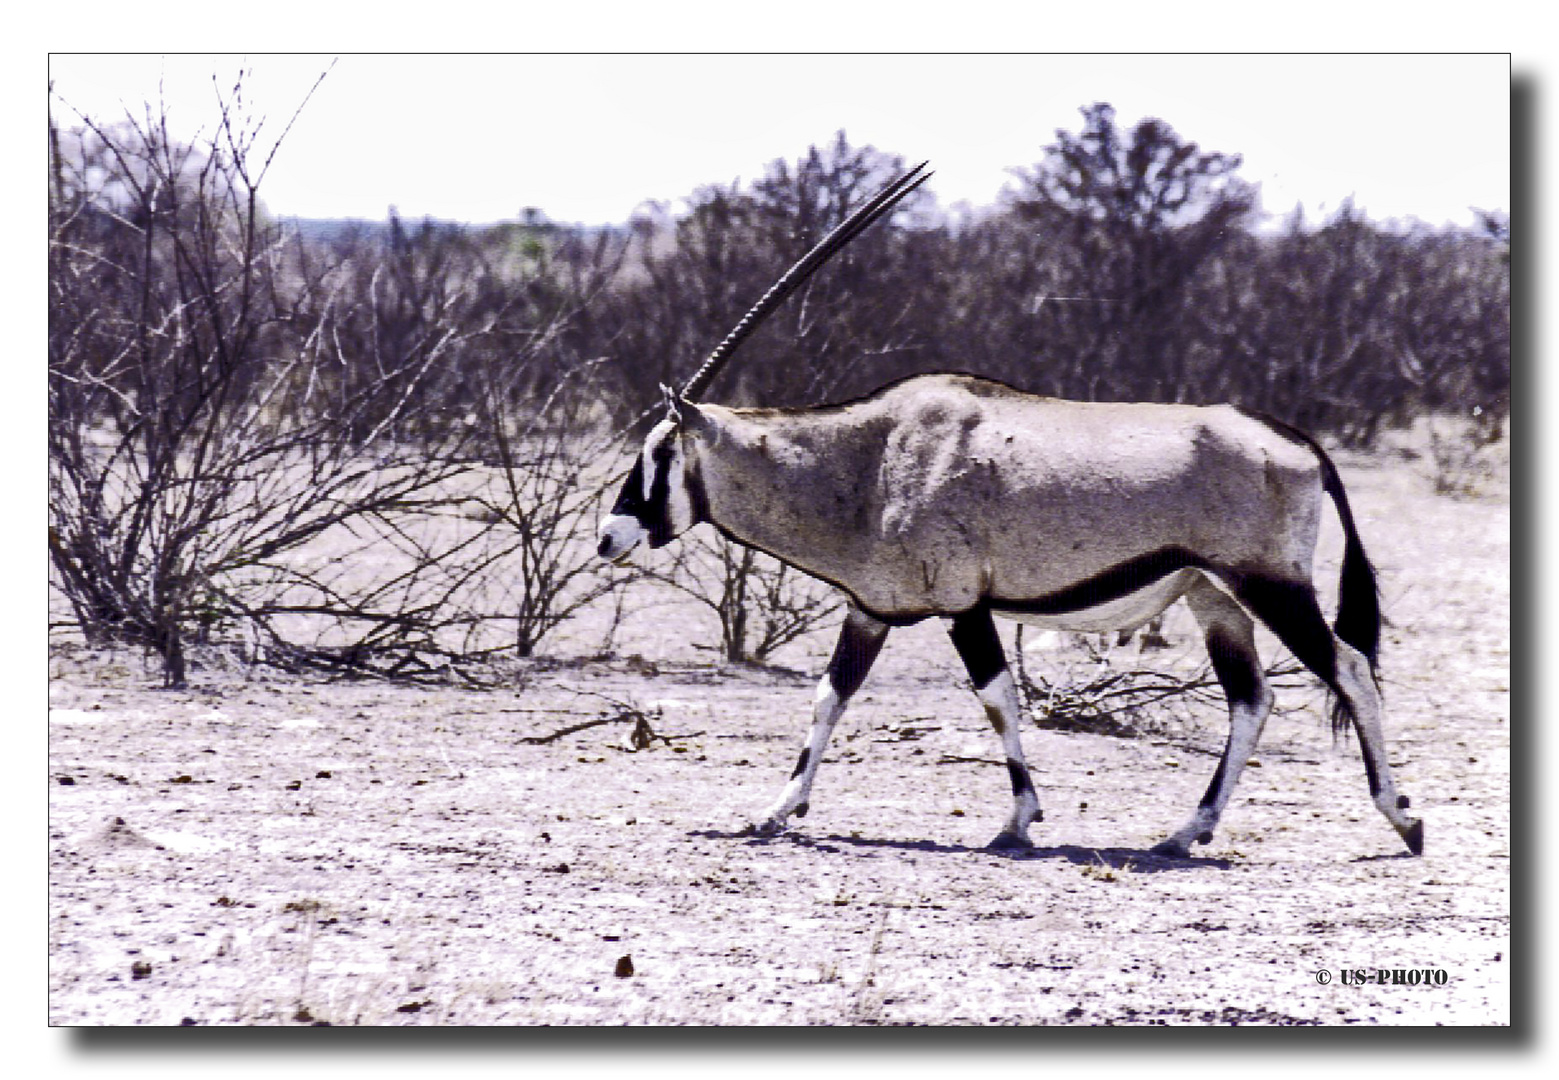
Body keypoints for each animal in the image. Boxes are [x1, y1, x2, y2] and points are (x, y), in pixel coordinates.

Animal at [595, 159, 1428, 854]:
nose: (608, 536)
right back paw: (1184, 832)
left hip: (1270, 586)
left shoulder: (963, 604)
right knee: (1250, 699)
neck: (870, 459)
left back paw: (1401, 818)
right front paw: (773, 811)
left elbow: (996, 699)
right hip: (1211, 597)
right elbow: (828, 699)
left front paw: (1018, 821)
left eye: (657, 454)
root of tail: (1295, 441)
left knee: (1349, 668)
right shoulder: (870, 610)